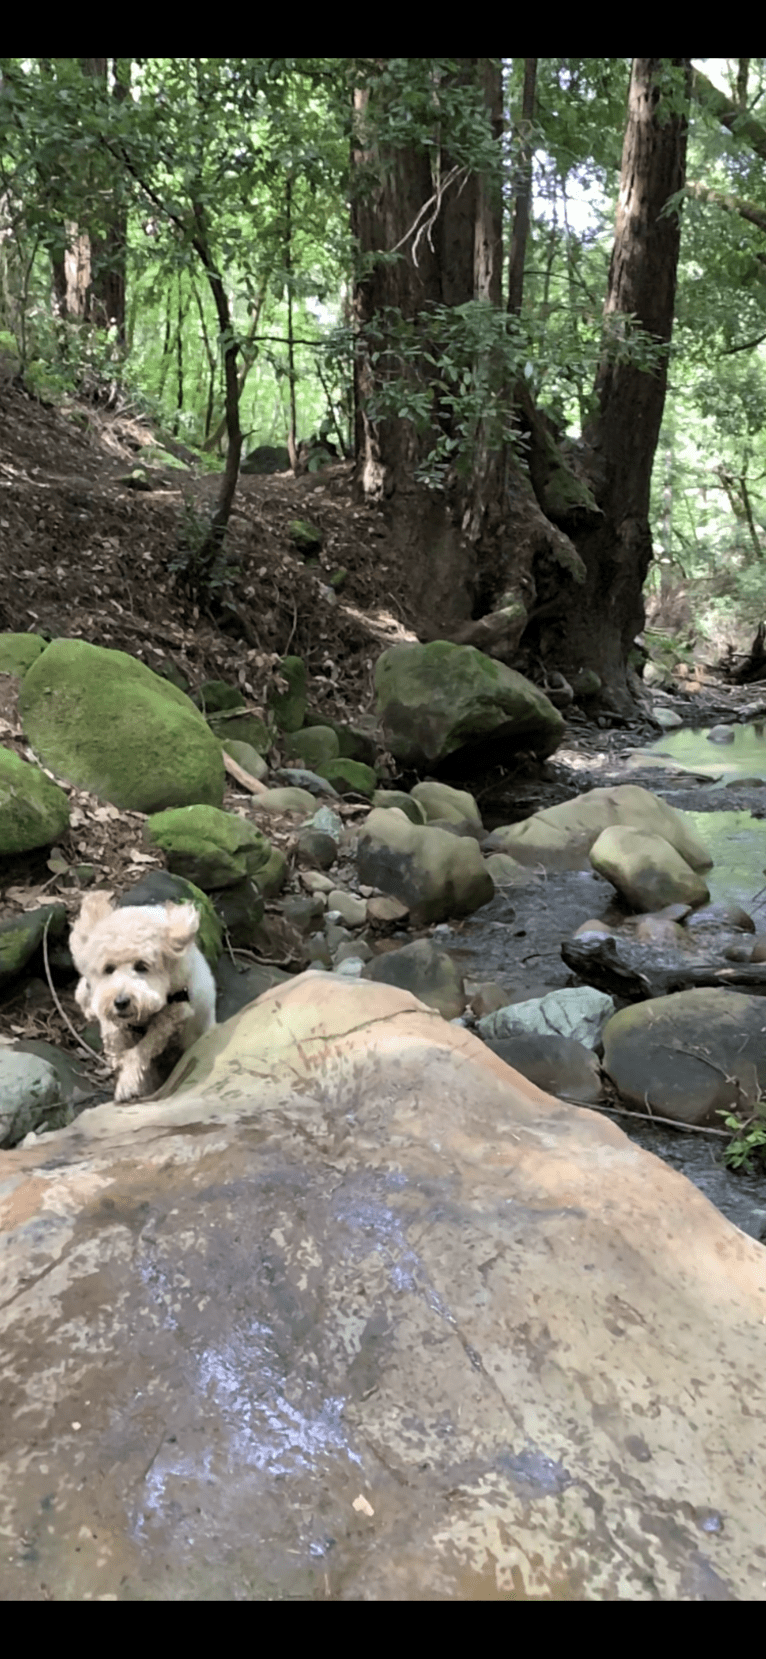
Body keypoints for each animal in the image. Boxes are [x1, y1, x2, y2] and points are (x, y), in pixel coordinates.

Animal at [70, 895, 217, 1101]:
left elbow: (142, 1049)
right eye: (108, 968)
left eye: (142, 966)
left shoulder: (175, 1011)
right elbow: (113, 1033)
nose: (121, 1002)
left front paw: (127, 1083)